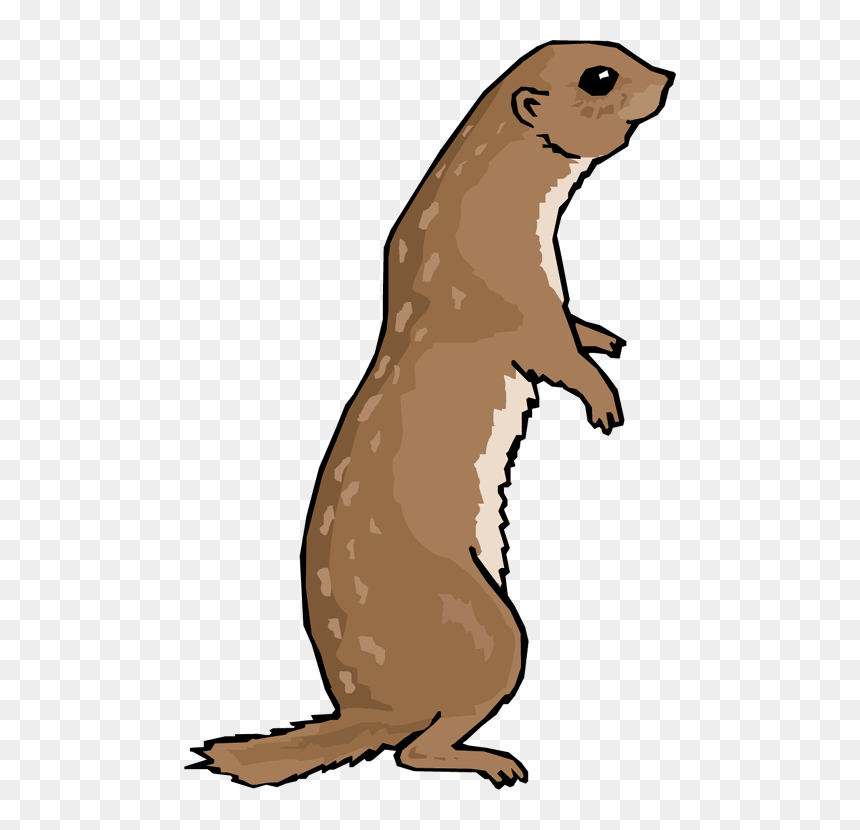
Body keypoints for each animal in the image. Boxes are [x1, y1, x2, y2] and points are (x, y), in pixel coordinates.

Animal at [189, 41, 674, 788]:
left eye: (622, 52)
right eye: (601, 77)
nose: (670, 76)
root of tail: (365, 703)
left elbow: (573, 331)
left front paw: (606, 337)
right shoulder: (513, 297)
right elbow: (553, 353)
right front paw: (605, 402)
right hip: (488, 627)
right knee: (415, 748)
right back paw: (494, 761)